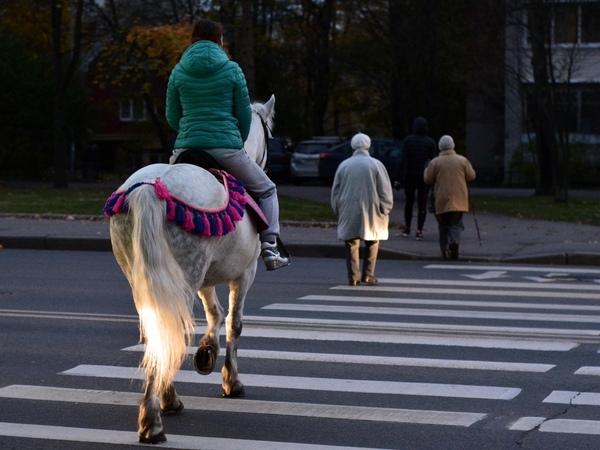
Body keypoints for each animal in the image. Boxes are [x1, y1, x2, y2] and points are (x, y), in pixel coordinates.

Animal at [107, 95, 274, 442]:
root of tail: (152, 187)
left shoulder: (205, 279)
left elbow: (214, 314)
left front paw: (206, 351)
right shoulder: (245, 274)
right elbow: (234, 323)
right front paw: (231, 381)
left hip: (147, 279)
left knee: (159, 330)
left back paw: (160, 406)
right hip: (186, 276)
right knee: (170, 330)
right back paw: (156, 417)